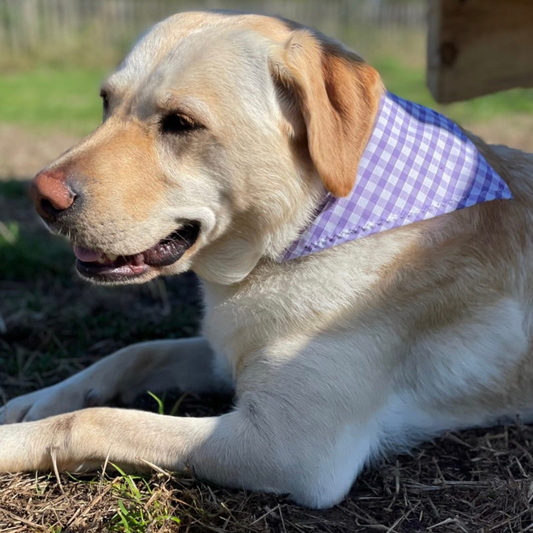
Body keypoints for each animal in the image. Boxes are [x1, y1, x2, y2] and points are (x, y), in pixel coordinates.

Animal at [1, 9, 532, 508]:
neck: (301, 233)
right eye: (106, 102)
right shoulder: (225, 354)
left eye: (181, 123)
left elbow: (93, 422)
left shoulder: (289, 448)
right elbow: (134, 353)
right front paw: (36, 402)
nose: (40, 197)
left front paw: (14, 439)